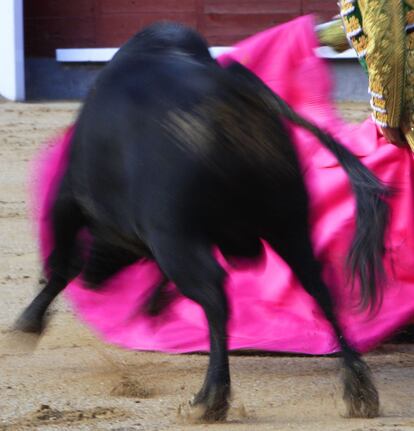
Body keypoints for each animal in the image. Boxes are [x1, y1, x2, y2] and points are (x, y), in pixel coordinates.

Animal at [16, 22, 390, 422]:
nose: (93, 278)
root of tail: (232, 96)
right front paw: (152, 304)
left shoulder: (76, 194)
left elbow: (62, 262)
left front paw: (27, 323)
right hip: (289, 223)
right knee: (319, 287)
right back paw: (358, 389)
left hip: (178, 232)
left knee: (214, 295)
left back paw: (210, 398)